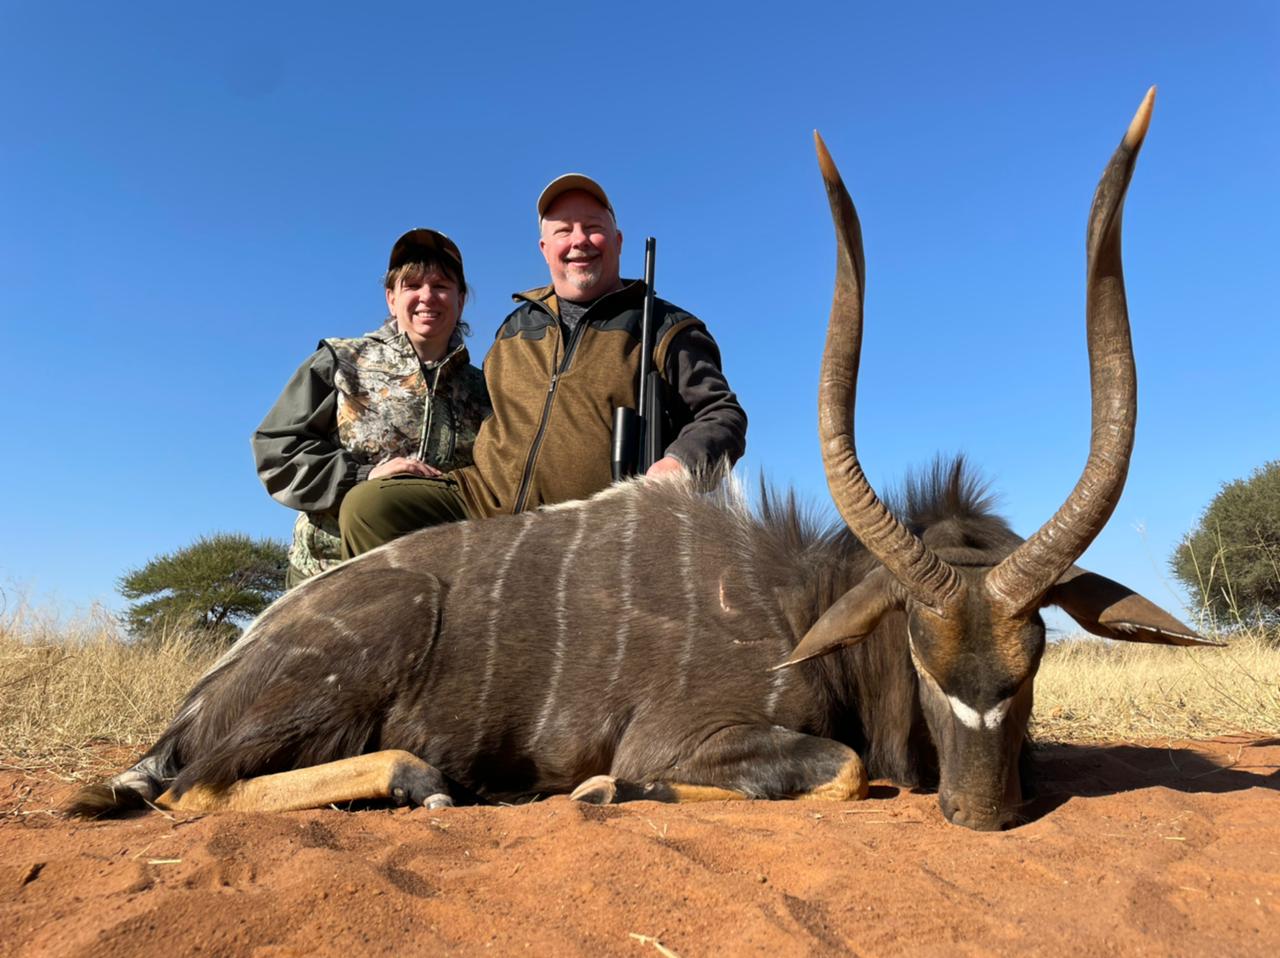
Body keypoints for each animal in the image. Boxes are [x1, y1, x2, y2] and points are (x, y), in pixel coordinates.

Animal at [69, 87, 1212, 831]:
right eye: (922, 655)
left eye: (1035, 659)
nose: (980, 811)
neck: (801, 607)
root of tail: (201, 697)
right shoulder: (684, 736)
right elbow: (842, 771)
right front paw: (600, 788)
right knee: (198, 790)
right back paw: (420, 781)